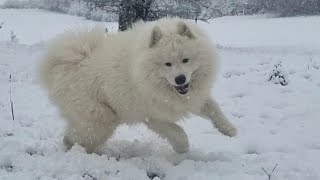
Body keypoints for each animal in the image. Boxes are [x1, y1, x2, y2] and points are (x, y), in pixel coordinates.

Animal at [38, 17, 236, 154]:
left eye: (185, 60)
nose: (180, 79)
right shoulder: (154, 115)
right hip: (100, 119)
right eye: (167, 64)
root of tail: (66, 64)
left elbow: (214, 109)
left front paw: (229, 129)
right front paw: (183, 148)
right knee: (75, 138)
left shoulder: (192, 98)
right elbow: (178, 131)